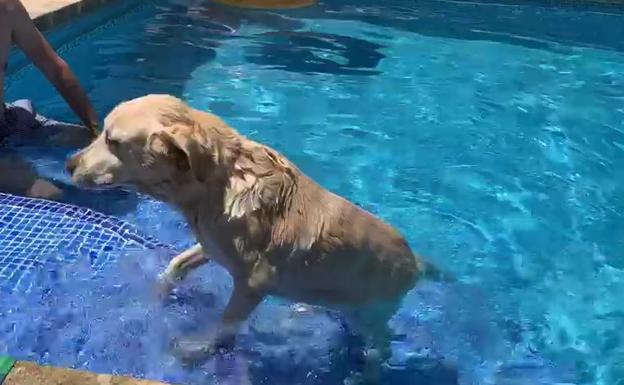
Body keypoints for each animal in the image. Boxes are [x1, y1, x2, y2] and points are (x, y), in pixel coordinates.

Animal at [66, 94, 442, 382]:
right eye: (103, 133)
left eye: (113, 141)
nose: (69, 165)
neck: (216, 185)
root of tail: (415, 261)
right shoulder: (210, 244)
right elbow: (177, 263)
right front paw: (159, 290)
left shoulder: (253, 284)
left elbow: (224, 325)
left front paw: (196, 349)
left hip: (372, 311)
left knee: (382, 344)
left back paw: (367, 372)